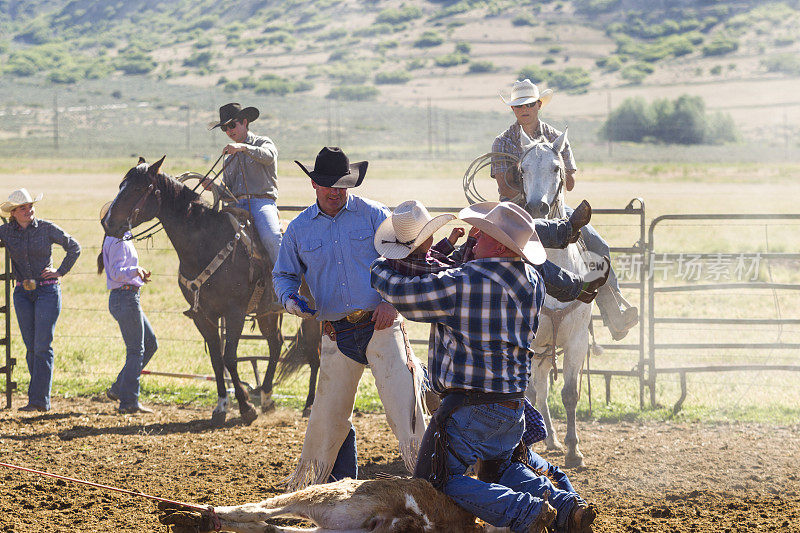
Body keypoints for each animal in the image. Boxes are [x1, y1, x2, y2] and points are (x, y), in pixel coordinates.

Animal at [101, 157, 320, 424]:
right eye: (121, 185)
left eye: (138, 188)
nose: (107, 222)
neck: (204, 244)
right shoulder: (202, 315)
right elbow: (217, 359)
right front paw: (222, 407)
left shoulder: (234, 312)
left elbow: (230, 357)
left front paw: (246, 407)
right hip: (268, 312)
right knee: (275, 344)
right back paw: (268, 398)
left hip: (312, 314)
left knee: (313, 353)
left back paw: (309, 405)